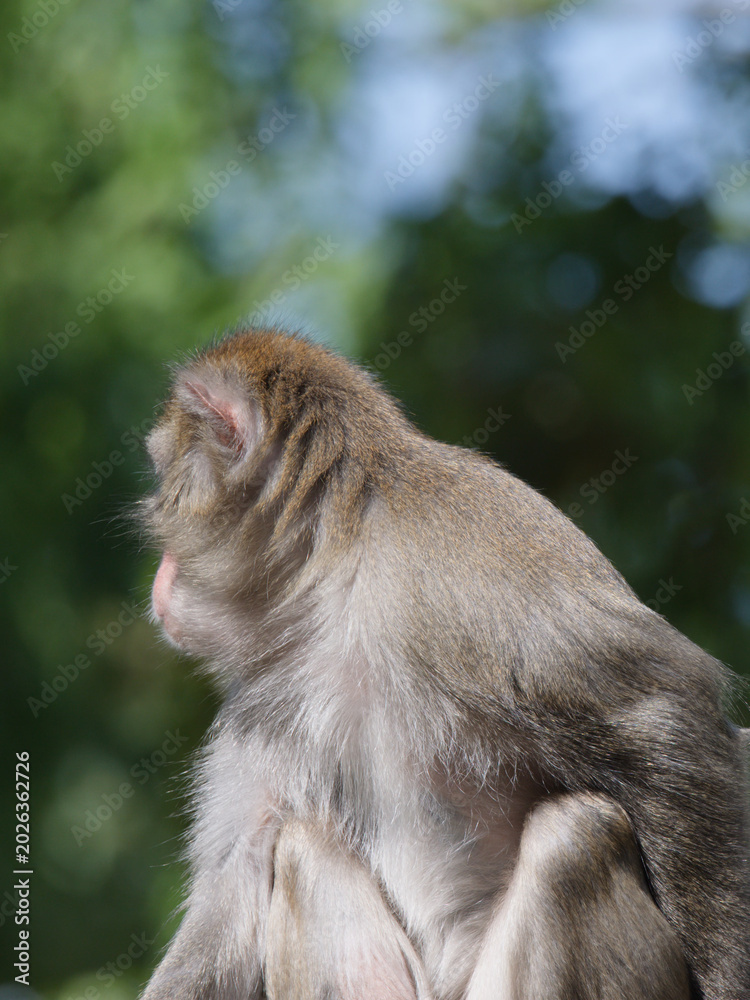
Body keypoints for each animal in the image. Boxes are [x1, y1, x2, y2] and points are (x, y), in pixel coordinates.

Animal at [139, 327, 748, 1000]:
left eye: (162, 474)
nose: (161, 574)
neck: (336, 576)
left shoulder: (456, 554)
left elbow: (664, 709)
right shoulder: (265, 689)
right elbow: (236, 881)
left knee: (575, 837)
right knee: (296, 846)